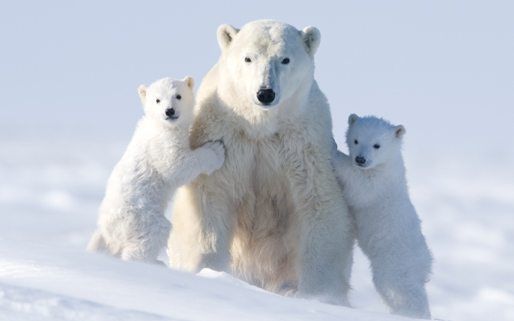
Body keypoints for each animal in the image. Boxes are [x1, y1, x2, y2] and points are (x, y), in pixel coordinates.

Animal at [168, 19, 352, 302]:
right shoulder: (225, 138)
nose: (265, 93)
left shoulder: (302, 145)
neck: (259, 127)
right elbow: (210, 198)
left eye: (285, 59)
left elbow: (318, 204)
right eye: (248, 58)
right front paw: (207, 269)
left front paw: (319, 294)